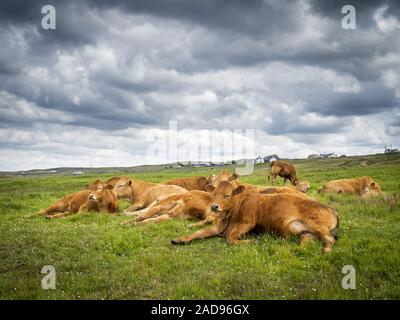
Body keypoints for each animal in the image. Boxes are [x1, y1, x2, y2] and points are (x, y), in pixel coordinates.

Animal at [170, 180, 340, 252]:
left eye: (227, 195)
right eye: (213, 194)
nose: (214, 206)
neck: (229, 217)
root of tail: (332, 209)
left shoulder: (247, 223)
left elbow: (230, 238)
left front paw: (251, 241)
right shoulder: (218, 226)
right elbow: (198, 232)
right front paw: (180, 239)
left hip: (317, 226)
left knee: (329, 239)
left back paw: (326, 251)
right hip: (303, 231)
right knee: (306, 241)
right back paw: (297, 249)